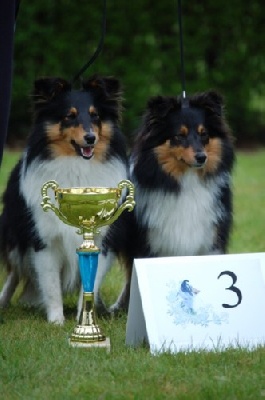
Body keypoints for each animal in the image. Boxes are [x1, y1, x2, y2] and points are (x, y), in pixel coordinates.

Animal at [0, 76, 128, 324]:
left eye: (95, 115)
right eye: (69, 116)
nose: (91, 138)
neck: (77, 167)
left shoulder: (101, 241)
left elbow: (90, 284)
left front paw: (84, 320)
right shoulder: (44, 241)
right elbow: (50, 285)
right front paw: (56, 322)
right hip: (15, 235)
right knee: (14, 273)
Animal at [98, 90, 233, 316]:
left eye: (204, 134)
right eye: (179, 135)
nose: (201, 157)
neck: (186, 182)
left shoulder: (211, 238)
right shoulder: (148, 241)